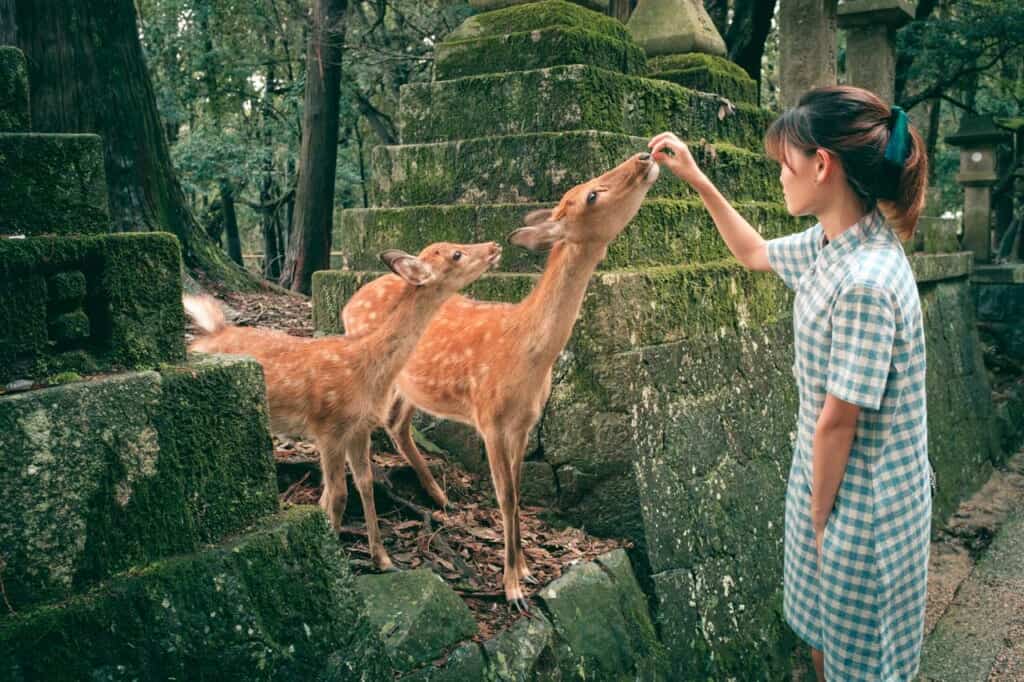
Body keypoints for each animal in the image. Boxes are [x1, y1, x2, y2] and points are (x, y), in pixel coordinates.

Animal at [183, 241, 502, 571]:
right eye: (456, 254)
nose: (494, 246)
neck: (365, 369)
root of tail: (209, 334)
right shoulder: (329, 427)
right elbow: (336, 495)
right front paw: (334, 557)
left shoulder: (359, 429)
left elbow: (364, 485)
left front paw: (382, 559)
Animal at [341, 153, 660, 609]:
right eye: (591, 194)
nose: (644, 156)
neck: (525, 354)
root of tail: (348, 302)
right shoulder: (488, 418)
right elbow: (505, 496)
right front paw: (513, 589)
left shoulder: (525, 422)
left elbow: (520, 490)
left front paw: (525, 568)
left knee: (398, 424)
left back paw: (440, 497)